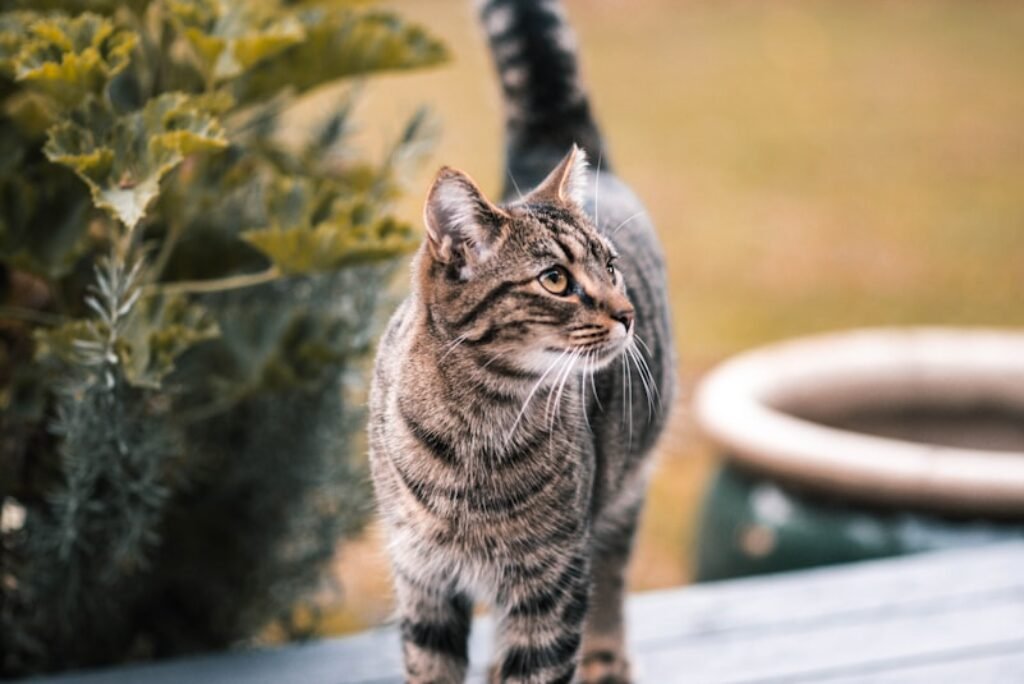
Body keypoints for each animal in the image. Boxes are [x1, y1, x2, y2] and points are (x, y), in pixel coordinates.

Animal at [366, 1, 671, 684]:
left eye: (610, 266)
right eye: (555, 279)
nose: (626, 314)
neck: (475, 430)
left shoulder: (549, 584)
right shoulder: (422, 577)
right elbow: (430, 667)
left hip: (625, 488)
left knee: (613, 572)